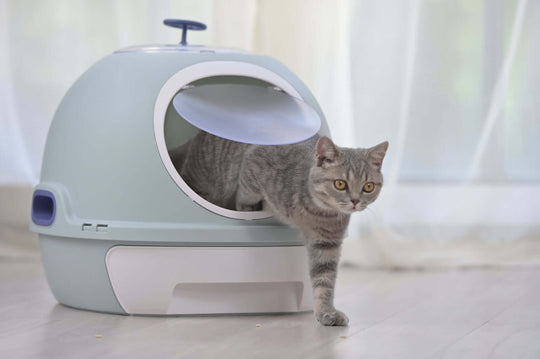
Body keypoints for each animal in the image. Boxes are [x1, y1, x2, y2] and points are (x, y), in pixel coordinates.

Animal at [170, 131, 388, 326]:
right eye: (340, 184)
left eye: (368, 186)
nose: (355, 201)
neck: (315, 212)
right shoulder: (254, 163)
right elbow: (245, 193)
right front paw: (247, 208)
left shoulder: (327, 243)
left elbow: (324, 279)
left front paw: (326, 312)